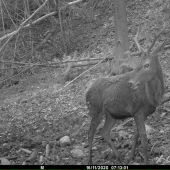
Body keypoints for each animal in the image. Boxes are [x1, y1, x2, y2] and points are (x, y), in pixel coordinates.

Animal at [85, 23, 168, 165]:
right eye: (138, 63)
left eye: (146, 64)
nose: (130, 82)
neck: (152, 97)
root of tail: (86, 93)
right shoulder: (137, 110)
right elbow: (144, 140)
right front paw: (145, 161)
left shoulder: (141, 113)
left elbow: (136, 134)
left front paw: (131, 156)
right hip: (95, 110)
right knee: (90, 133)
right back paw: (90, 160)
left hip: (111, 115)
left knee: (104, 132)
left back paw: (120, 157)